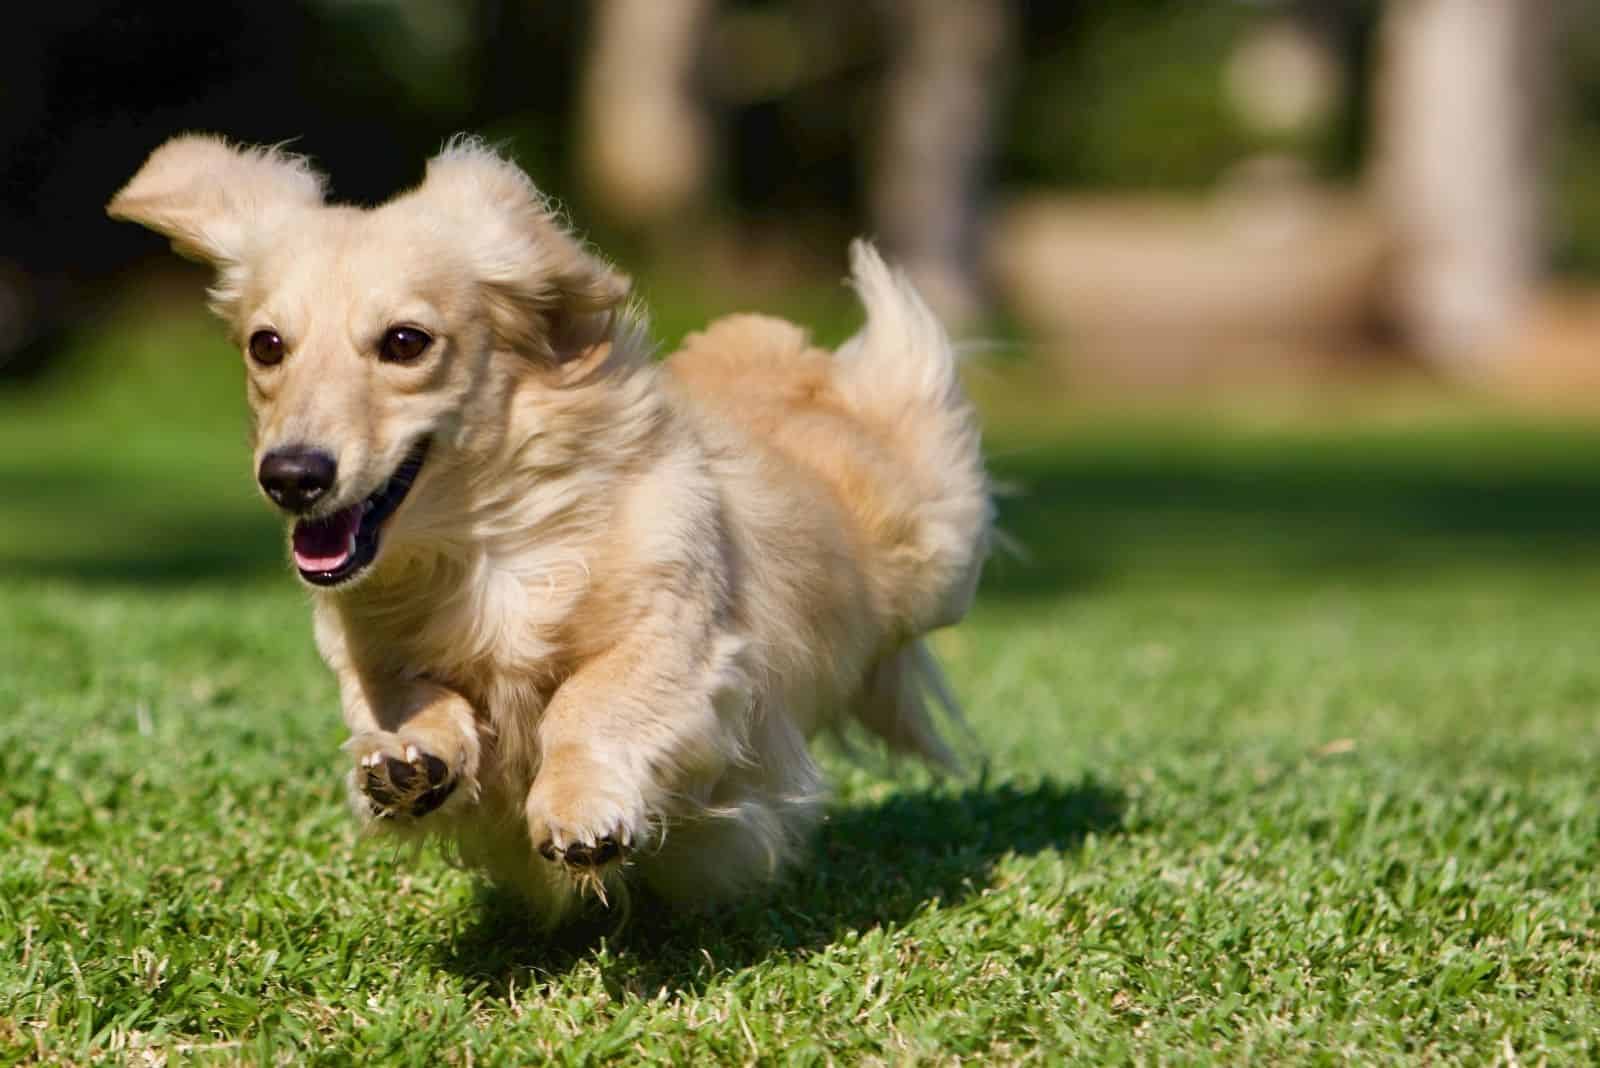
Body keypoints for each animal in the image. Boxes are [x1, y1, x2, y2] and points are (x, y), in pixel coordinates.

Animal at [106, 131, 985, 920]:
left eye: (405, 342)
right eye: (267, 346)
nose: (291, 476)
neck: (484, 544)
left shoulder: (679, 640)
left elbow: (586, 703)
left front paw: (579, 809)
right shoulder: (374, 655)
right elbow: (411, 698)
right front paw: (407, 759)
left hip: (935, 551)